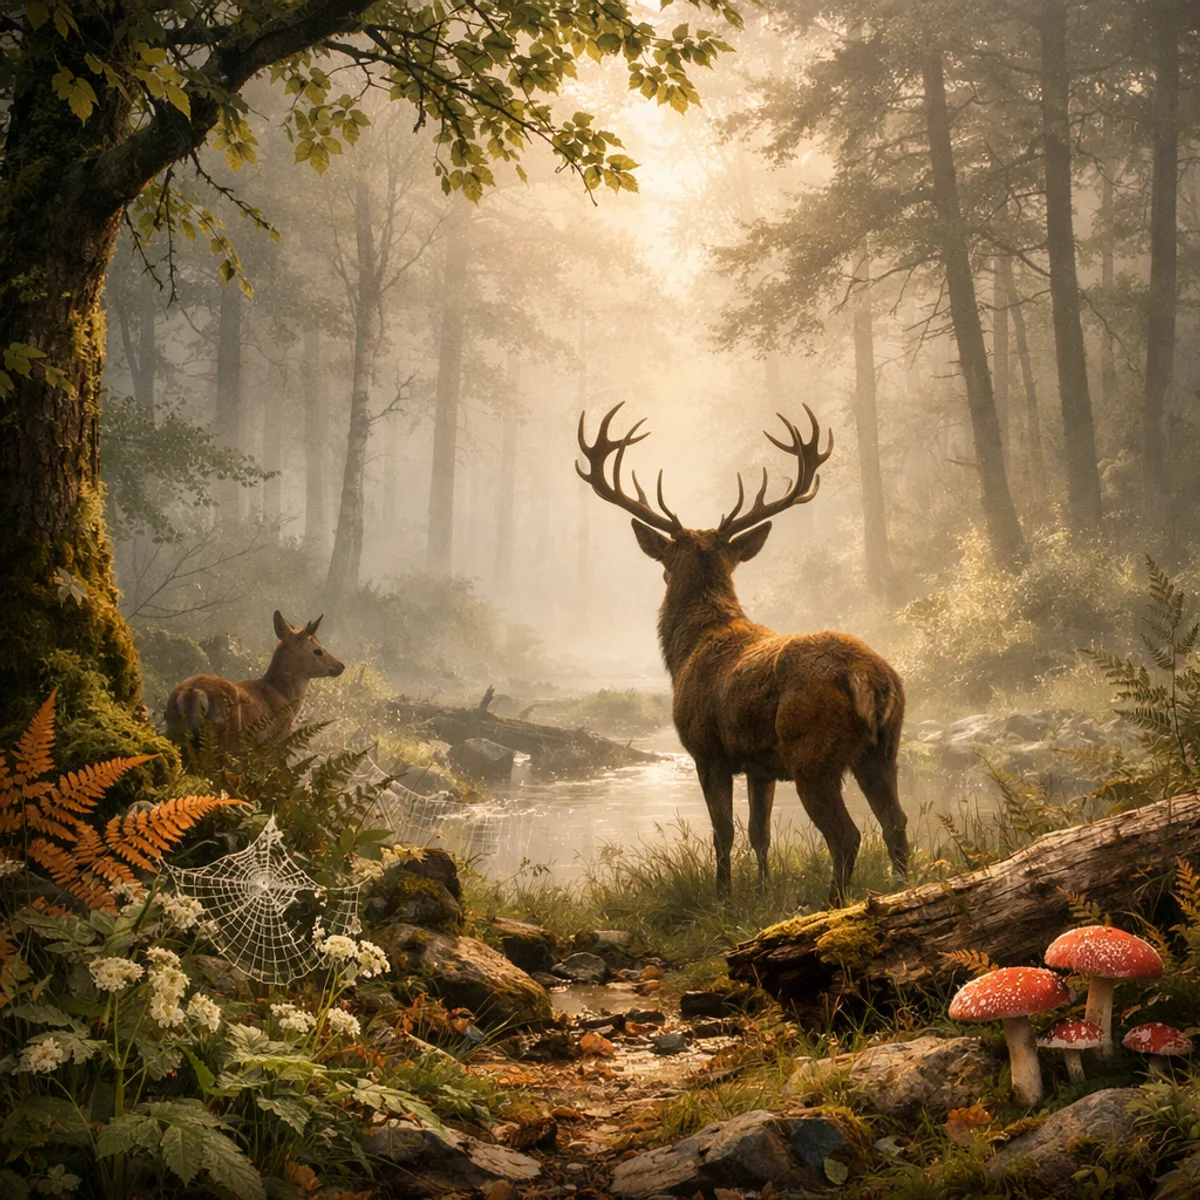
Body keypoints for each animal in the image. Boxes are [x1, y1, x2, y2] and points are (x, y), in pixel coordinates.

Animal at [165, 611, 345, 754]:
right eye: (318, 650)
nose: (340, 665)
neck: (285, 698)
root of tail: (194, 693)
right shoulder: (276, 743)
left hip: (174, 732)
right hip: (223, 739)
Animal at [577, 404, 907, 908]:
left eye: (667, 565)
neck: (689, 647)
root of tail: (869, 676)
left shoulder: (707, 751)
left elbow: (723, 833)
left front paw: (723, 899)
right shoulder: (760, 764)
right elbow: (759, 833)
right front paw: (762, 892)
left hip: (813, 754)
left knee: (847, 835)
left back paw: (833, 903)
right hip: (884, 748)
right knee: (897, 824)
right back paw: (904, 888)